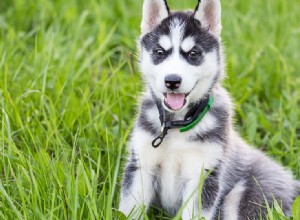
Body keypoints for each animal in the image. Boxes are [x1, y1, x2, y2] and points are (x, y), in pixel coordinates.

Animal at [118, 0, 298, 218]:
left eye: (193, 53)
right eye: (160, 52)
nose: (172, 81)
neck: (177, 125)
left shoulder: (203, 175)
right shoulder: (141, 166)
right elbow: (128, 211)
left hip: (247, 196)